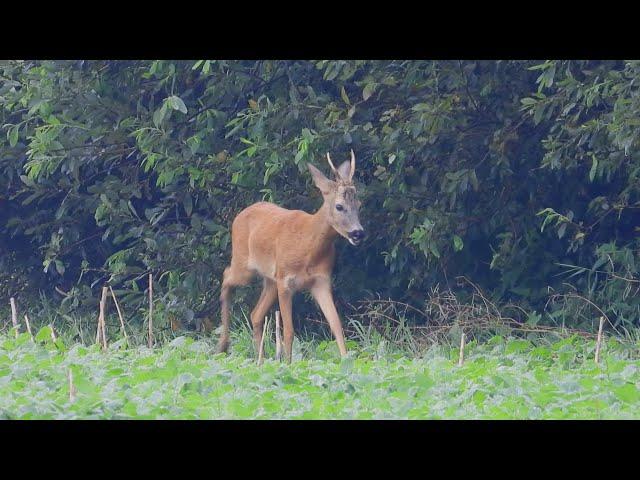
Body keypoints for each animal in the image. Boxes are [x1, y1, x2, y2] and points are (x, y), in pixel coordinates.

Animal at [216, 150, 362, 360]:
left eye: (359, 204)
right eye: (339, 206)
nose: (358, 233)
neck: (308, 248)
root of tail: (240, 215)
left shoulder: (321, 281)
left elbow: (336, 324)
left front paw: (346, 359)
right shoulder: (285, 281)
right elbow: (289, 330)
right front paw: (288, 362)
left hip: (270, 279)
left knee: (255, 314)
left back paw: (261, 357)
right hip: (244, 265)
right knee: (226, 276)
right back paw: (223, 345)